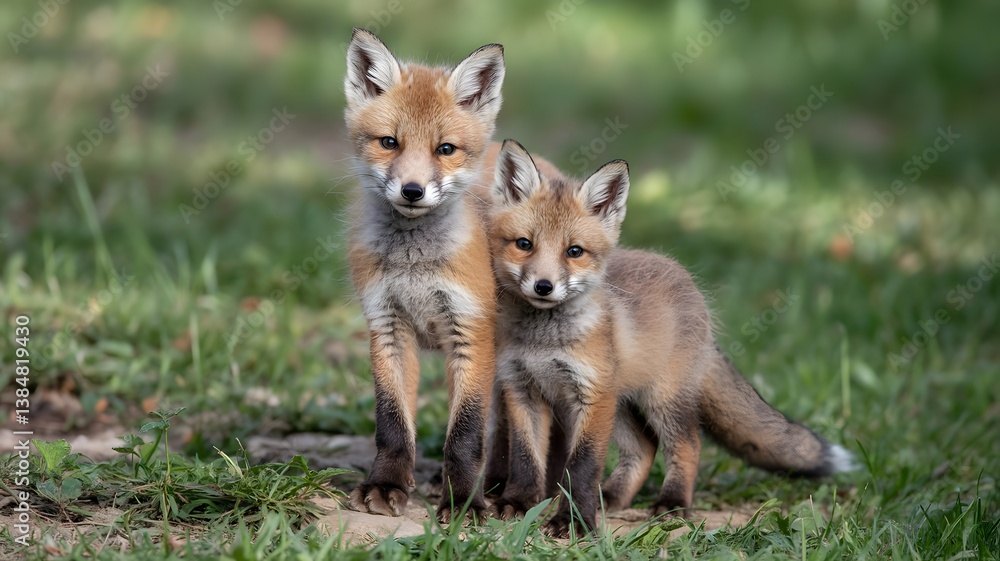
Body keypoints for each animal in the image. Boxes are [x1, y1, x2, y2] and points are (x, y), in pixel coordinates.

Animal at [342, 28, 505, 523]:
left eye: (444, 149)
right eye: (389, 143)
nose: (412, 191)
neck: (415, 265)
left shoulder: (471, 331)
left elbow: (466, 433)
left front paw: (464, 500)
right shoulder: (388, 325)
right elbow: (393, 423)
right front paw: (387, 484)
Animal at [484, 139, 854, 537]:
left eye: (574, 252)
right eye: (524, 244)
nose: (543, 286)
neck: (544, 341)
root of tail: (686, 281)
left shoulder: (592, 397)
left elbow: (582, 467)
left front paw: (573, 520)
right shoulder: (522, 390)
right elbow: (525, 459)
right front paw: (519, 502)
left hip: (660, 400)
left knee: (688, 445)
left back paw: (673, 503)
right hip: (622, 403)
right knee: (645, 447)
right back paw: (611, 497)